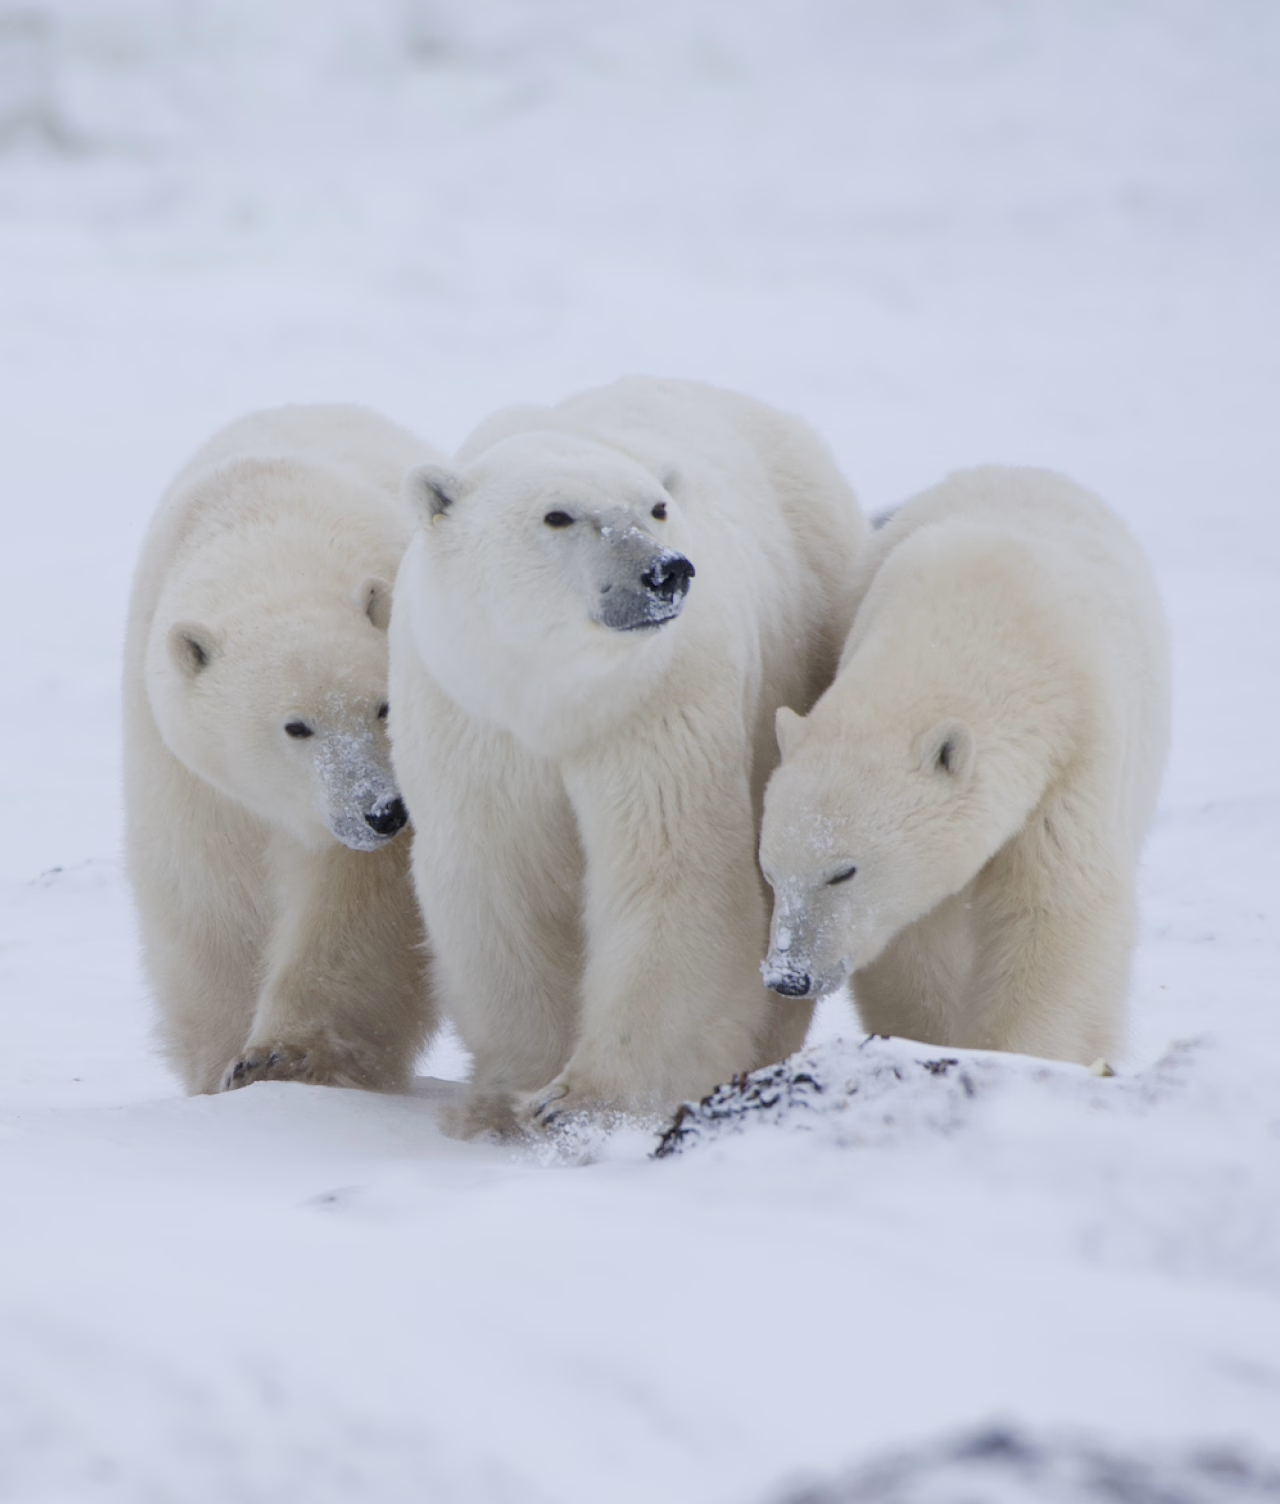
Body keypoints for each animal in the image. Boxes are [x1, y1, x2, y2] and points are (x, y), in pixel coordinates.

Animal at [123, 403, 441, 1095]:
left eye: (383, 707)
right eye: (297, 727)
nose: (383, 811)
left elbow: (359, 901)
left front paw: (284, 1058)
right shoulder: (184, 761)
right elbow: (207, 891)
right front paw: (220, 1064)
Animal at [388, 376, 869, 1134]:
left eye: (657, 508)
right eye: (557, 516)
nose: (665, 572)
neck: (556, 697)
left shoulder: (659, 703)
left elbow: (671, 866)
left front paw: (585, 1102)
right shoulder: (469, 716)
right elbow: (500, 885)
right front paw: (509, 1097)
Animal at [758, 464, 1171, 1065]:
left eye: (842, 871)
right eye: (768, 870)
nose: (788, 977)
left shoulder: (1076, 753)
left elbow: (1055, 911)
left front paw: (1015, 1053)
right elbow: (916, 939)